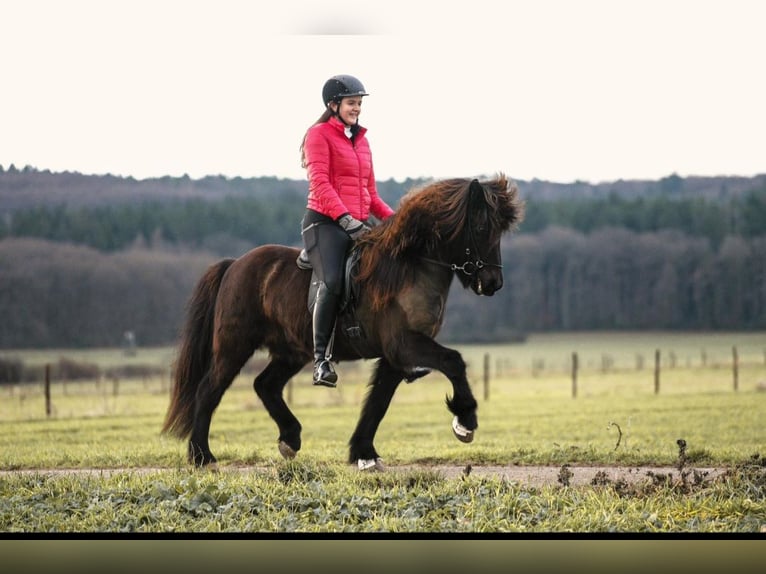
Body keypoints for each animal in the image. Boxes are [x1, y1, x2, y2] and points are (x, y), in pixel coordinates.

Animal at [162, 177, 520, 472]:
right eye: (480, 226)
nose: (493, 283)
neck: (410, 267)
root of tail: (235, 264)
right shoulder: (405, 344)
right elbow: (453, 361)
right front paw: (465, 420)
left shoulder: (394, 356)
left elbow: (378, 402)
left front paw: (364, 453)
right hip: (234, 347)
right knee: (209, 390)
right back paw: (202, 457)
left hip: (291, 352)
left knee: (265, 385)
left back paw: (290, 439)